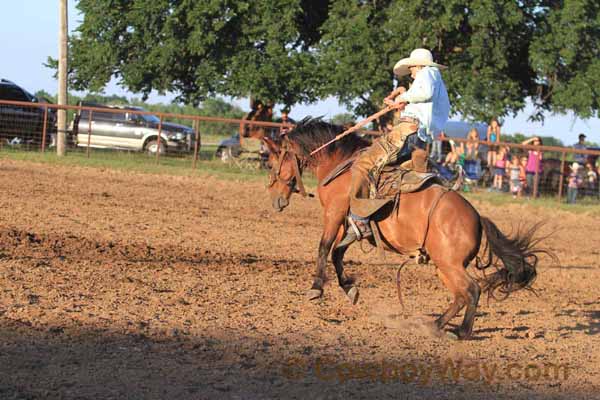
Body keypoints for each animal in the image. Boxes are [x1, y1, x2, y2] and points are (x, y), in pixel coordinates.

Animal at [264, 117, 556, 340]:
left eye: (271, 161)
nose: (276, 200)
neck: (340, 164)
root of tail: (476, 217)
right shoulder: (351, 225)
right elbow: (337, 253)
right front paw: (350, 289)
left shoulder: (334, 213)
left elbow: (324, 247)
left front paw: (316, 289)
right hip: (444, 266)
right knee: (461, 295)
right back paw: (434, 325)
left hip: (449, 264)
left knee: (472, 290)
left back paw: (459, 332)